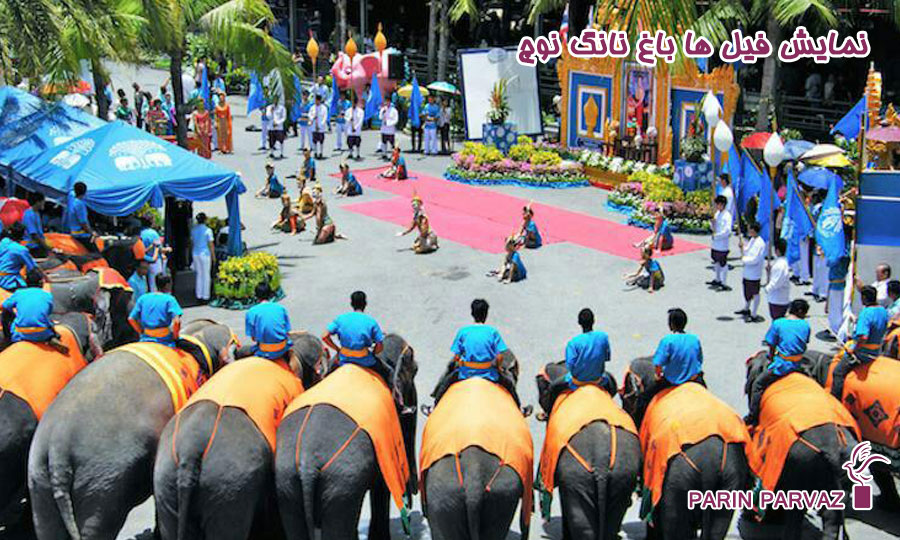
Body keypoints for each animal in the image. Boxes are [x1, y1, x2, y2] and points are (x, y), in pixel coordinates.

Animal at [535, 361, 641, 540]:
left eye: (542, 392)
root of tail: (600, 462)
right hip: (622, 476)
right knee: (613, 521)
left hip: (577, 477)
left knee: (582, 524)